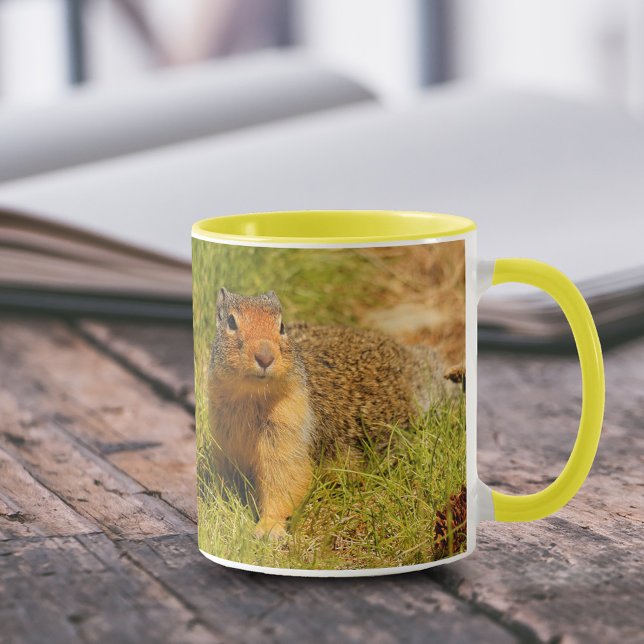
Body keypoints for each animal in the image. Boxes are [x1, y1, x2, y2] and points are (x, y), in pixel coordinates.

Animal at [207, 288, 458, 539]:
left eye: (282, 326)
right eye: (231, 322)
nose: (265, 357)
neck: (251, 397)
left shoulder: (289, 433)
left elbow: (283, 481)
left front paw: (269, 528)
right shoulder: (224, 438)